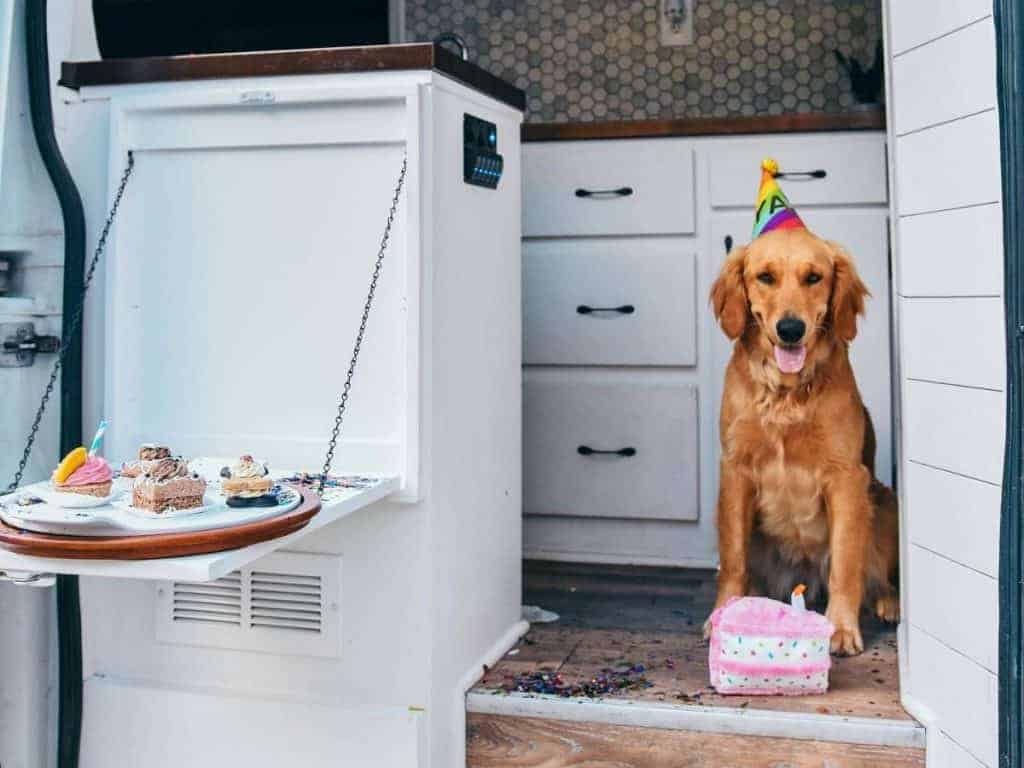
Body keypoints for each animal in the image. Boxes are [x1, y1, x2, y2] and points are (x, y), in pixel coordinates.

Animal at [708, 228, 901, 655]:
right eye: (765, 277)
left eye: (814, 277)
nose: (791, 329)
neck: (786, 392)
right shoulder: (735, 471)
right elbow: (733, 559)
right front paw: (722, 616)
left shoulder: (846, 477)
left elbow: (846, 563)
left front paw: (841, 628)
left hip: (885, 502)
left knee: (879, 575)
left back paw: (889, 603)